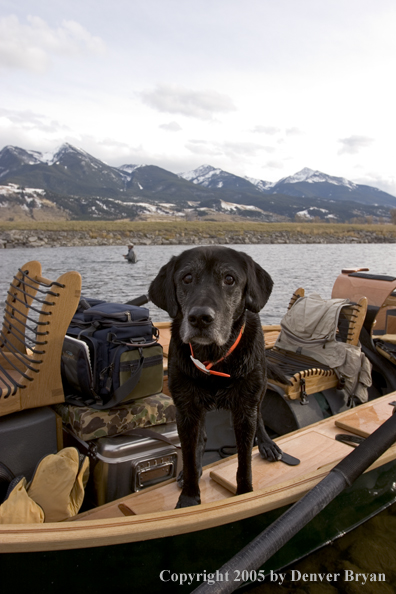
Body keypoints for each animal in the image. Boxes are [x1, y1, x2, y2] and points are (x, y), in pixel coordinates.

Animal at [148, 243, 282, 506]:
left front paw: (244, 496)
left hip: (260, 386)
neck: (213, 359)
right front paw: (189, 498)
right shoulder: (186, 411)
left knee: (260, 415)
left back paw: (266, 443)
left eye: (229, 279)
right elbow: (190, 457)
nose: (200, 318)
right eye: (187, 278)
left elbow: (244, 464)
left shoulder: (244, 410)